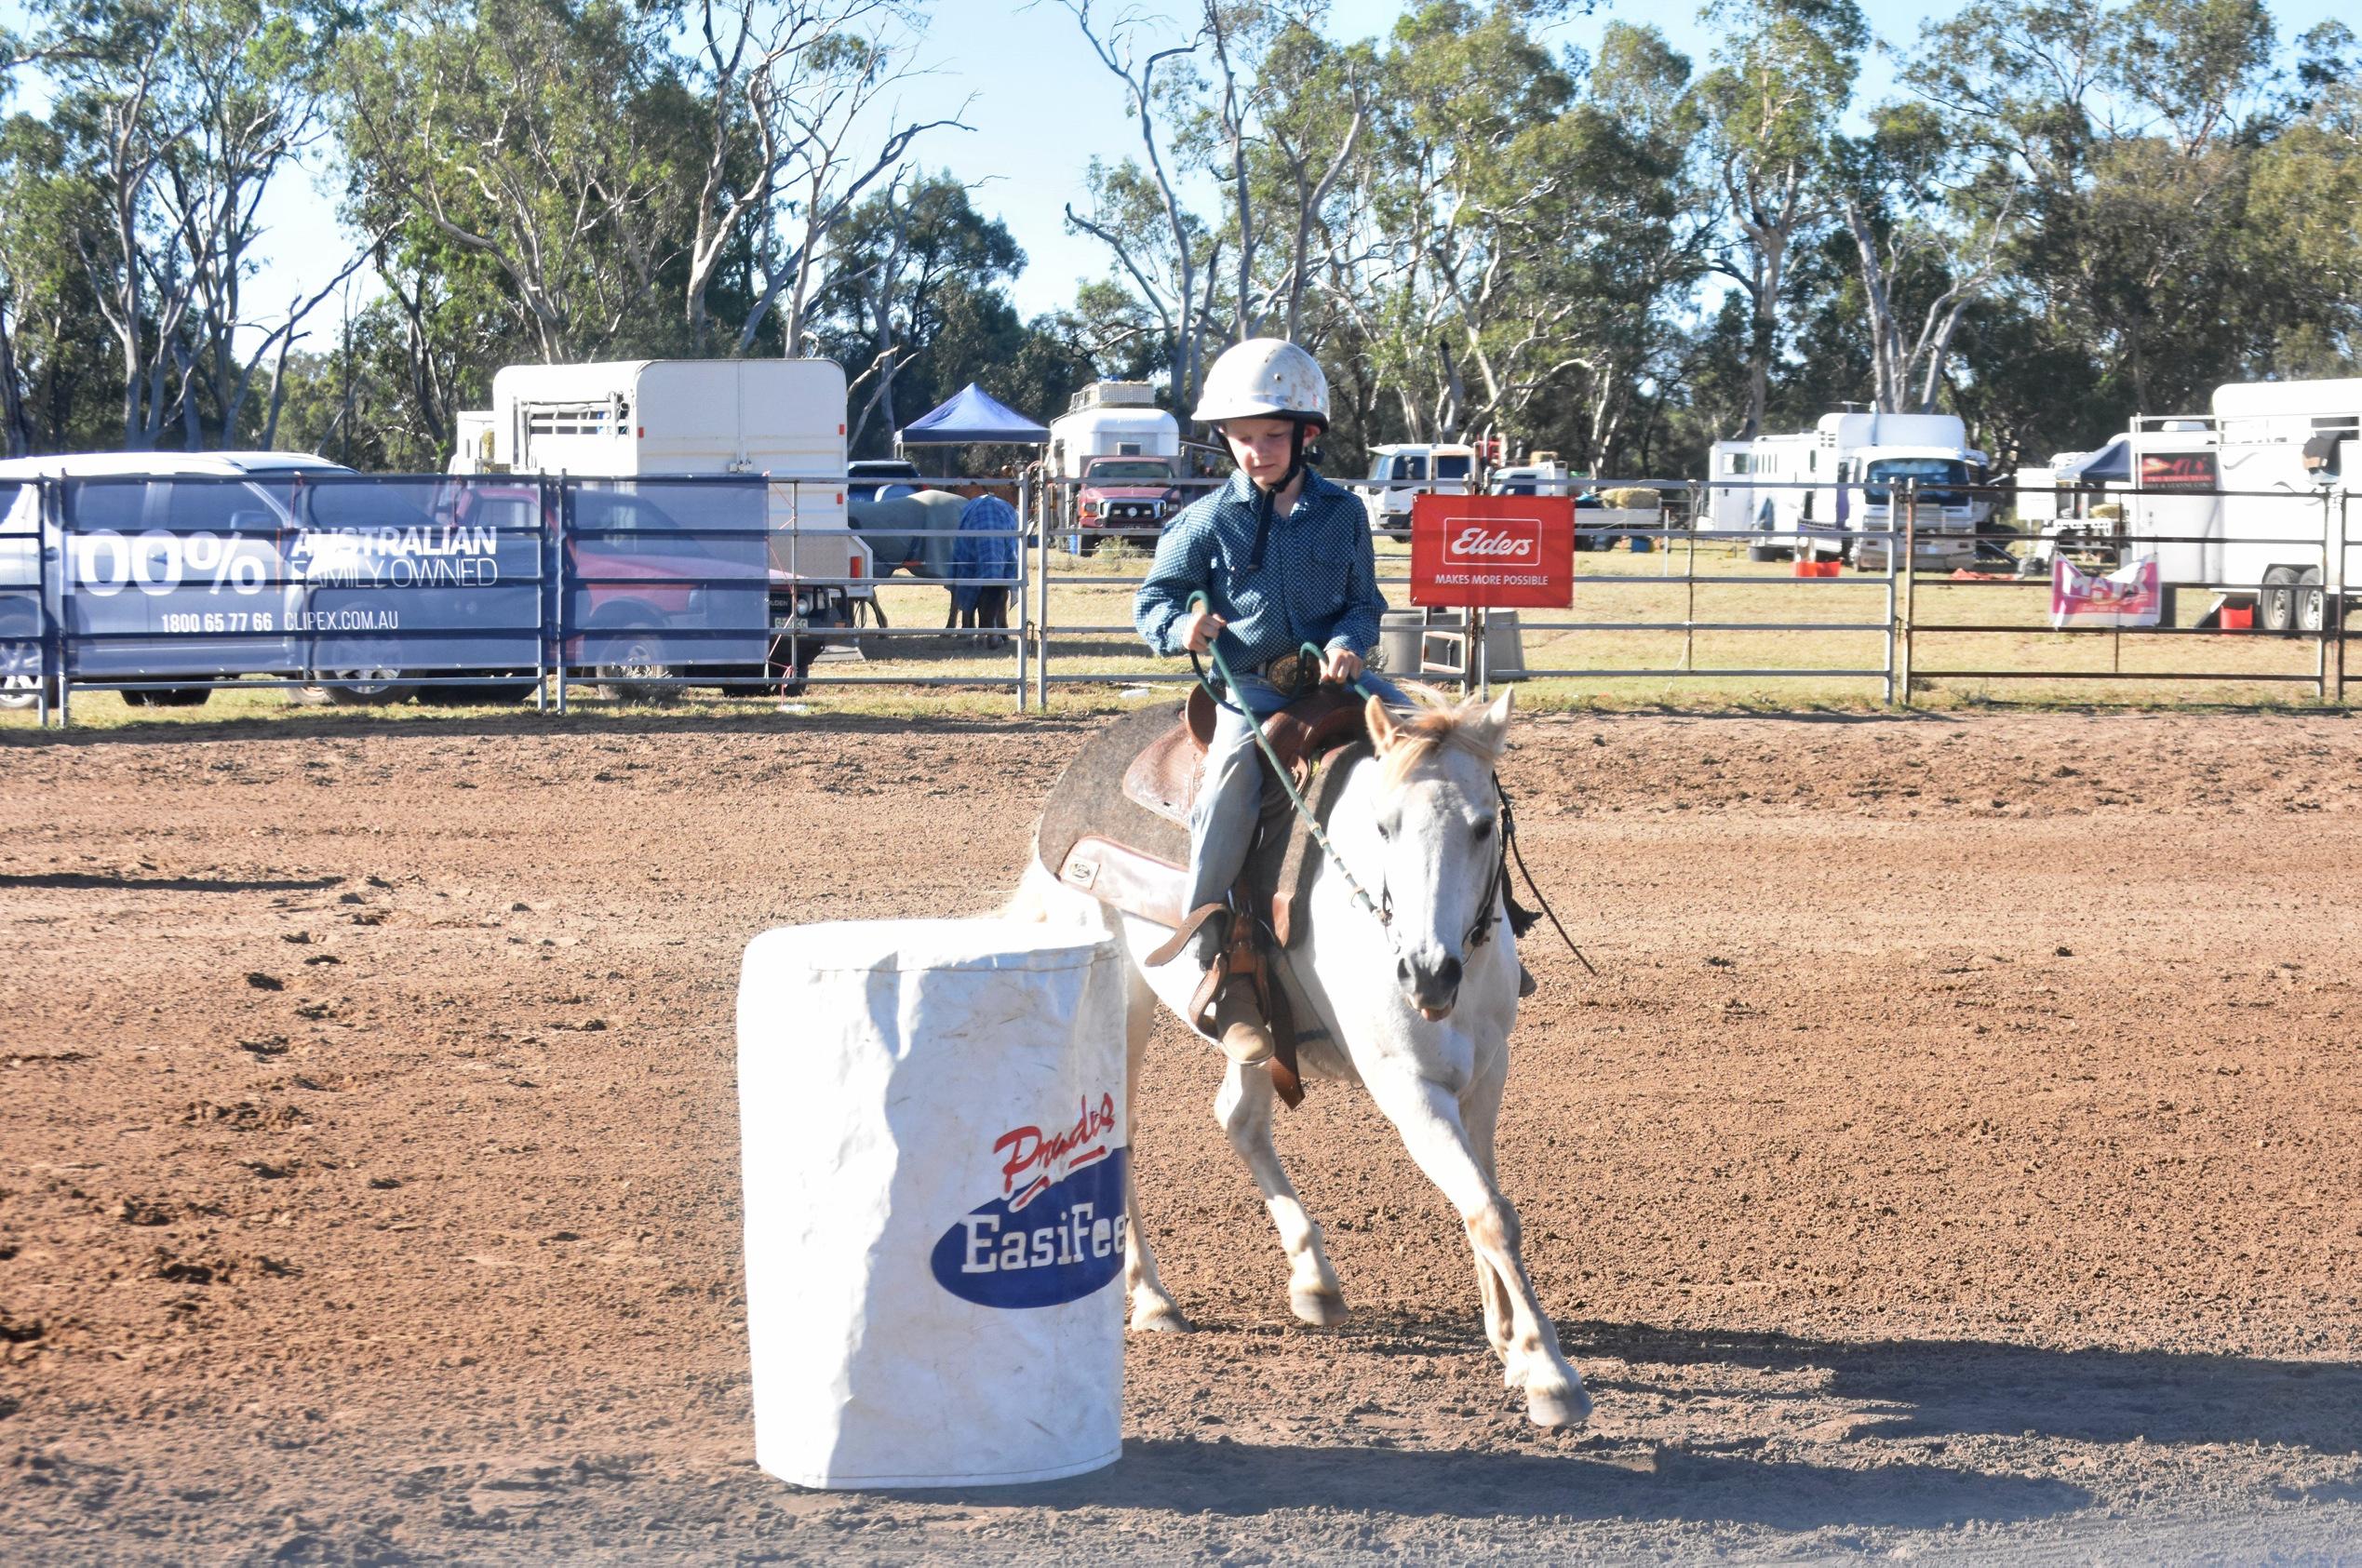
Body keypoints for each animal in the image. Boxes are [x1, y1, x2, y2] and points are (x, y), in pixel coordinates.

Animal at [1015, 684, 1587, 1416]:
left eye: (1484, 825)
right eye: (1384, 826)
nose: (1426, 973)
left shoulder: (1487, 1075)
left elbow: (1483, 1201)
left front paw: (1510, 1341)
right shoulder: (1409, 1088)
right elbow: (1489, 1211)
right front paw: (1547, 1370)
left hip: (1256, 1030)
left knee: (1239, 1117)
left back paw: (1314, 1278)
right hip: (1119, 999)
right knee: (1118, 1130)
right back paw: (1152, 1298)